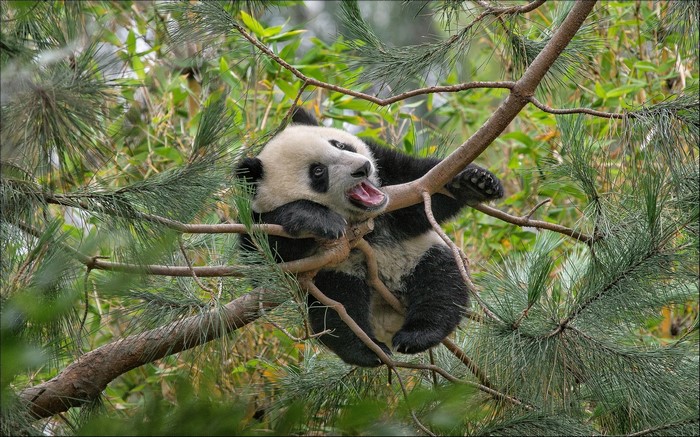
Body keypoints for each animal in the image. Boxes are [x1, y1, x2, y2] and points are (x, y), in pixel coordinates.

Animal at [237, 109, 503, 367]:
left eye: (340, 145)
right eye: (318, 171)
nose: (362, 168)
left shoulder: (389, 172)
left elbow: (420, 186)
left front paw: (475, 182)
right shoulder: (254, 217)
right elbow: (260, 263)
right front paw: (316, 218)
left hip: (422, 253)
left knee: (441, 283)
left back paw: (417, 334)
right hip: (337, 276)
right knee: (338, 311)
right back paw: (369, 350)